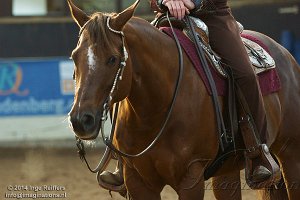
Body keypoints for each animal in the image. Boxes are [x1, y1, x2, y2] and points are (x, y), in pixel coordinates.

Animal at [67, 0, 300, 199]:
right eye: (74, 56)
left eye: (113, 59)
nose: (81, 120)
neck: (155, 111)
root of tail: (286, 56)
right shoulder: (137, 180)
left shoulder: (191, 176)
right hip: (227, 171)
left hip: (290, 156)